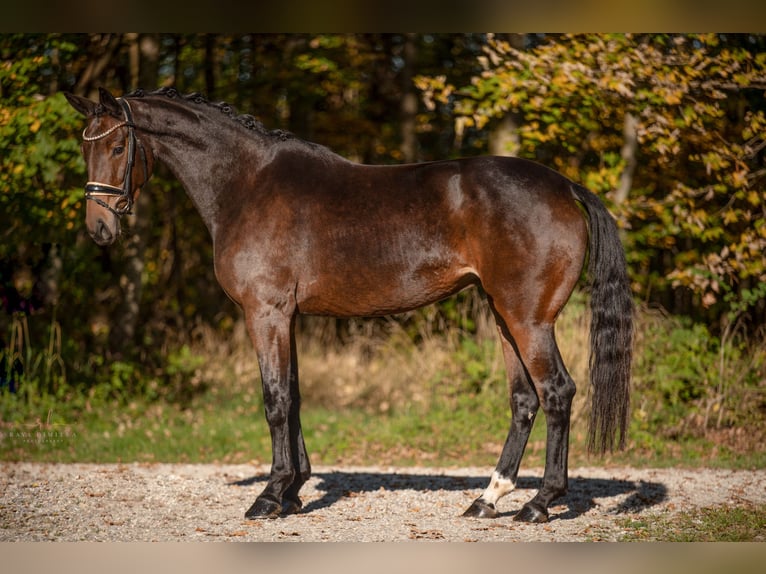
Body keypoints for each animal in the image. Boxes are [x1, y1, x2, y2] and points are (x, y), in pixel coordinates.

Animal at [64, 88, 632, 524]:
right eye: (86, 147)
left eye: (119, 144)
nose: (99, 228)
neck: (246, 184)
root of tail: (563, 185)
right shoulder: (286, 316)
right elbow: (293, 397)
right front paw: (292, 491)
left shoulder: (265, 312)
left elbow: (274, 400)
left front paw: (269, 497)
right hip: (504, 315)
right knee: (523, 400)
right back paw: (487, 499)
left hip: (528, 319)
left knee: (556, 393)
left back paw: (539, 503)